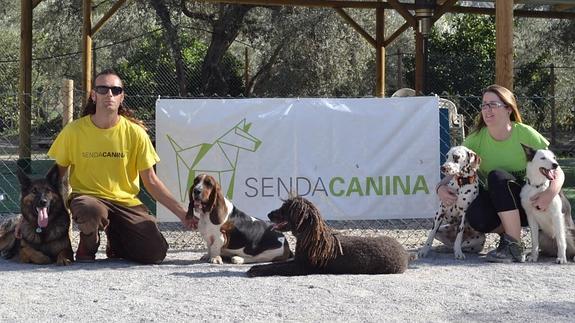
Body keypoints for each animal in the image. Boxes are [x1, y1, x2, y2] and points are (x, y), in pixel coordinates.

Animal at [245, 196, 412, 278]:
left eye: (285, 209)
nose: (269, 214)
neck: (312, 238)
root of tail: (404, 252)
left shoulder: (302, 267)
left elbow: (275, 267)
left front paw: (255, 270)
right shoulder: (297, 261)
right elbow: (274, 264)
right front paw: (256, 267)